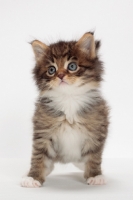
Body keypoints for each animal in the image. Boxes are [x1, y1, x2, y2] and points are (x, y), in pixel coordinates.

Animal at [20, 32, 108, 187]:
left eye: (72, 66)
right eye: (51, 70)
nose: (60, 75)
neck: (69, 99)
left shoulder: (96, 130)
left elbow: (94, 157)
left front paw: (95, 175)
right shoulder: (43, 131)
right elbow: (39, 156)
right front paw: (33, 177)